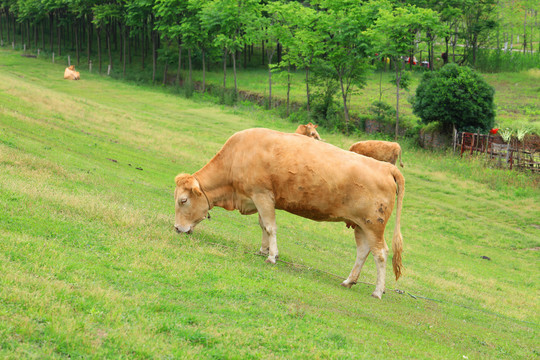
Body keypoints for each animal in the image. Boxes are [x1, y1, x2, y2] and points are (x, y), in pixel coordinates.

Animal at [175, 129, 402, 298]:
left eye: (183, 200)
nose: (177, 228)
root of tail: (386, 168)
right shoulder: (259, 199)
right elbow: (263, 225)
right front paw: (263, 250)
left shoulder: (262, 195)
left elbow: (270, 227)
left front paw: (271, 256)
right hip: (360, 225)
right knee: (363, 251)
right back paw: (349, 280)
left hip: (373, 225)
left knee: (380, 254)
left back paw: (378, 291)